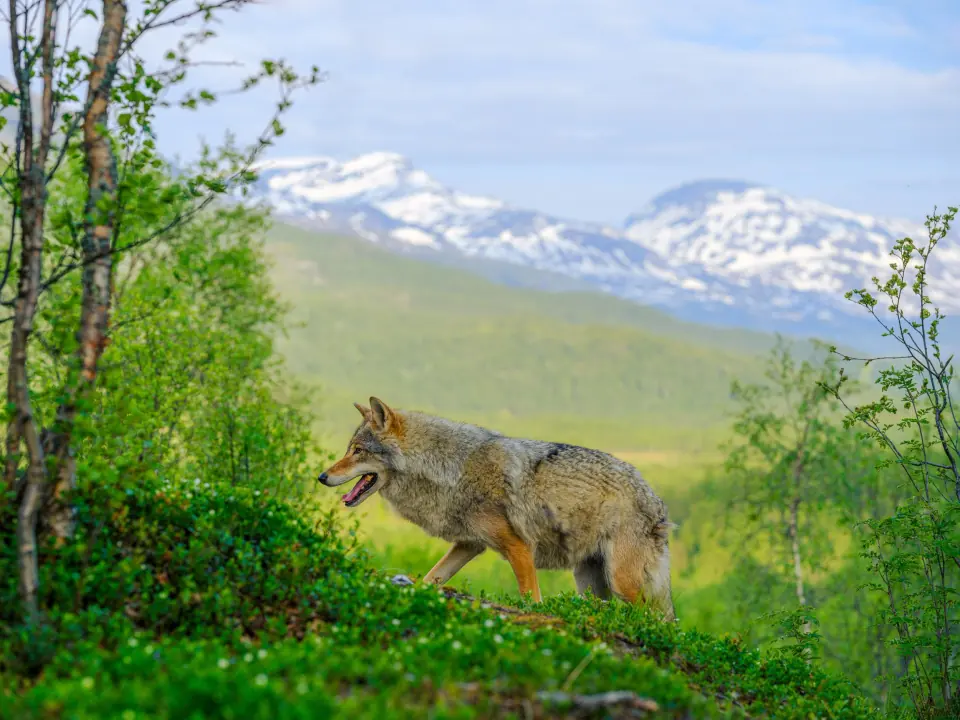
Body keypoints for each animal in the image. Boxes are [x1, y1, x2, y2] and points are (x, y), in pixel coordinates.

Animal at [318, 397, 675, 620]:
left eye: (358, 451)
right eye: (349, 449)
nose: (322, 477)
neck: (449, 468)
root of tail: (656, 498)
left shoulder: (519, 548)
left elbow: (531, 599)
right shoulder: (469, 544)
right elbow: (433, 577)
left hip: (623, 582)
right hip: (590, 581)